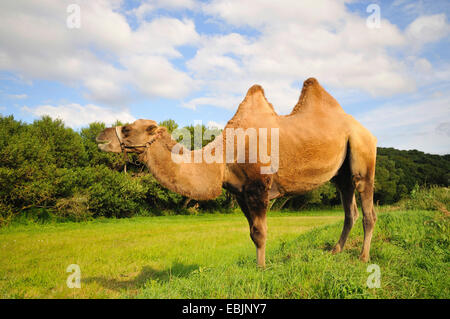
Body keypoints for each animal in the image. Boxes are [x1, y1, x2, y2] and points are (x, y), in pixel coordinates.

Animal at [97, 77, 376, 268]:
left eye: (128, 129)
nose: (99, 136)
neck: (222, 158)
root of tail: (367, 132)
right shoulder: (240, 192)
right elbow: (252, 233)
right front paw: (258, 265)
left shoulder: (259, 185)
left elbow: (261, 232)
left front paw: (262, 268)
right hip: (342, 173)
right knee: (349, 209)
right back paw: (336, 251)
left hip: (363, 153)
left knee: (367, 210)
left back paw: (363, 257)